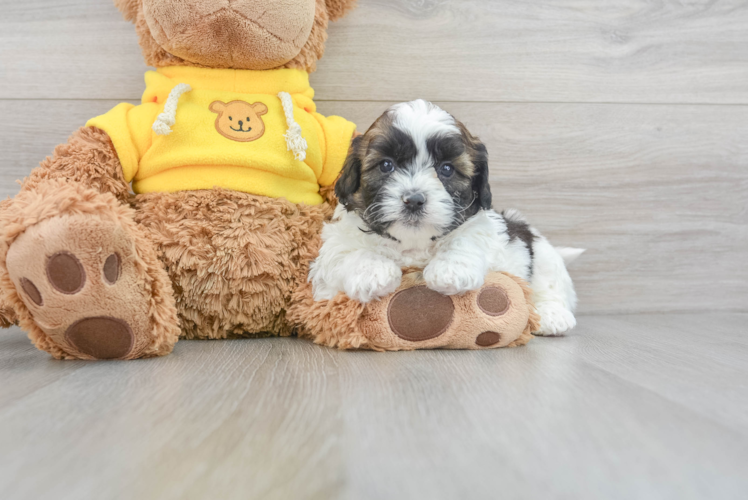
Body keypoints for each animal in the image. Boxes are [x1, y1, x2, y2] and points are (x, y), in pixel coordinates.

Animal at [308, 100, 580, 336]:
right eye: (386, 165)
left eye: (447, 169)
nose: (414, 200)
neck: (413, 244)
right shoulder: (330, 258)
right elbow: (346, 253)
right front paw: (372, 272)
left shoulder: (485, 228)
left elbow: (468, 237)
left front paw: (451, 269)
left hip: (541, 254)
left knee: (551, 284)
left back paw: (552, 315)